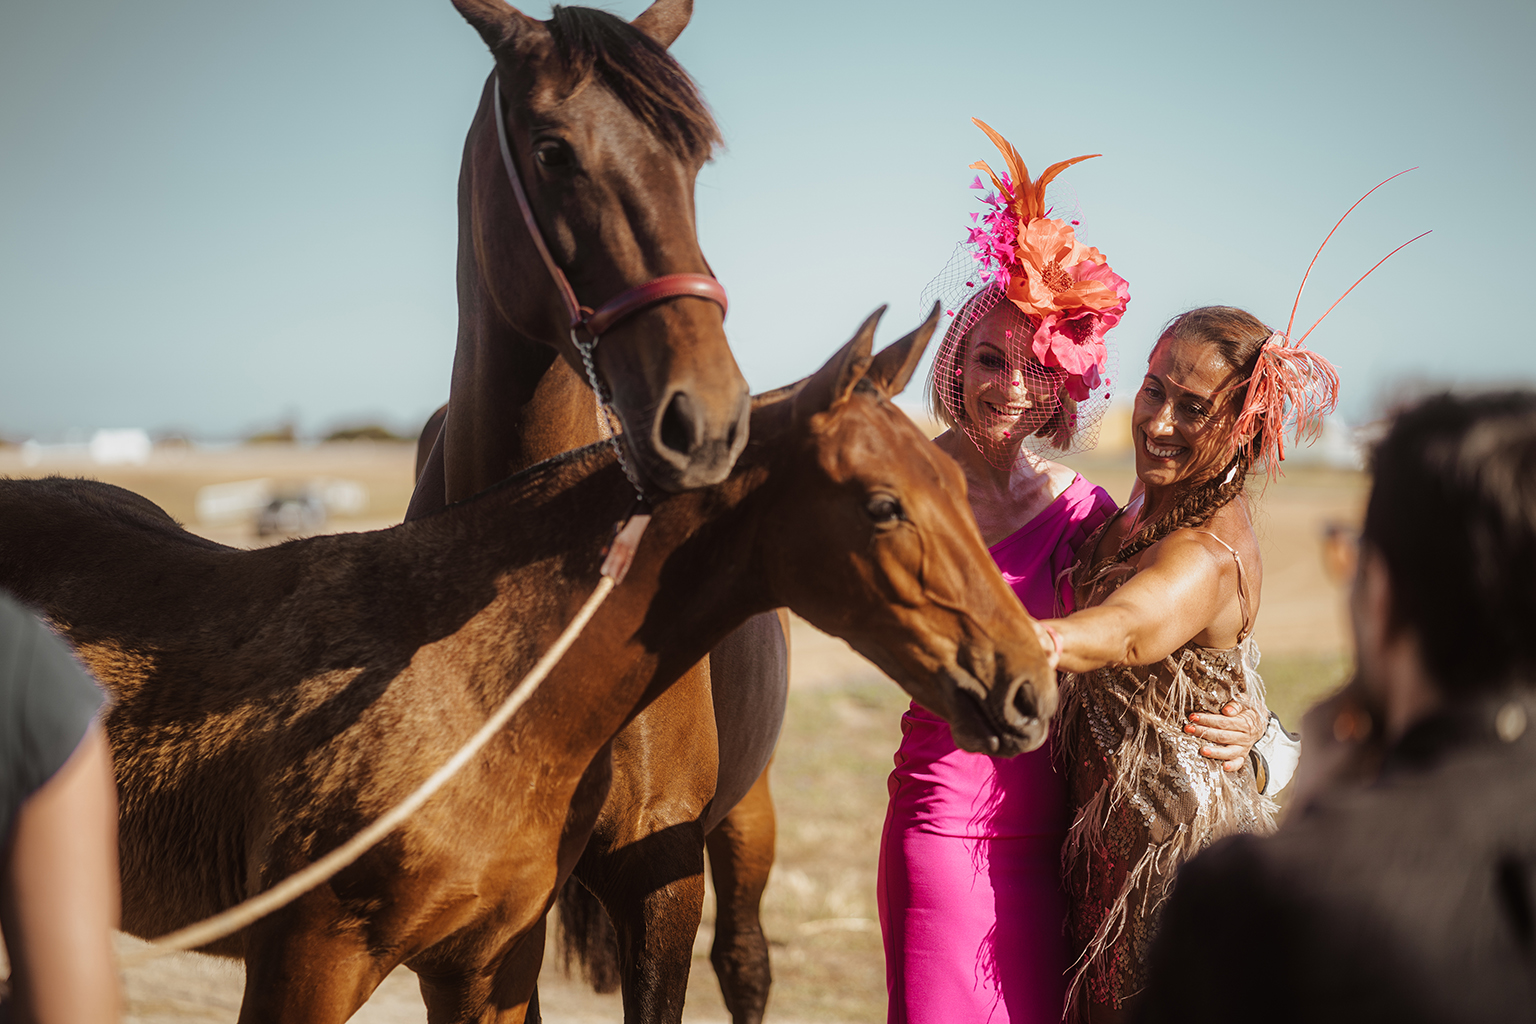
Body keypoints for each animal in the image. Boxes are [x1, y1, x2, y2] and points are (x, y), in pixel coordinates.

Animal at [408, 4, 792, 1019]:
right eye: (552, 151)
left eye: (690, 161)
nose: (712, 416)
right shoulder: (480, 923)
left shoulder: (661, 878)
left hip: (746, 815)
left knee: (746, 962)